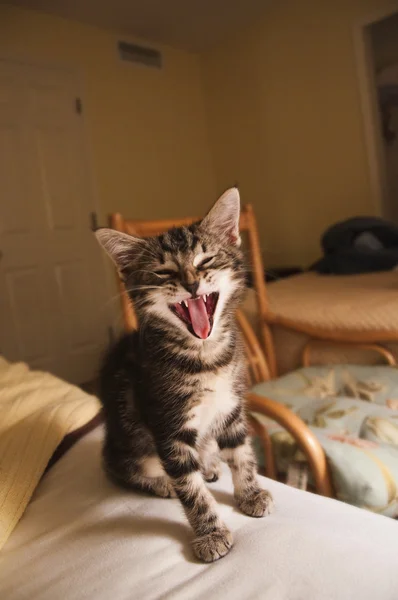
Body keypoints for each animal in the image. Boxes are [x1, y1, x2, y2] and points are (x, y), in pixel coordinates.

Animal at [95, 189, 274, 564]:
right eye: (163, 272)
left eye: (205, 260)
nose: (191, 283)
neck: (206, 357)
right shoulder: (168, 427)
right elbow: (191, 491)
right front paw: (211, 533)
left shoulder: (232, 406)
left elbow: (242, 453)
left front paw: (250, 493)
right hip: (127, 442)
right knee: (120, 469)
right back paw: (160, 482)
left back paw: (208, 463)